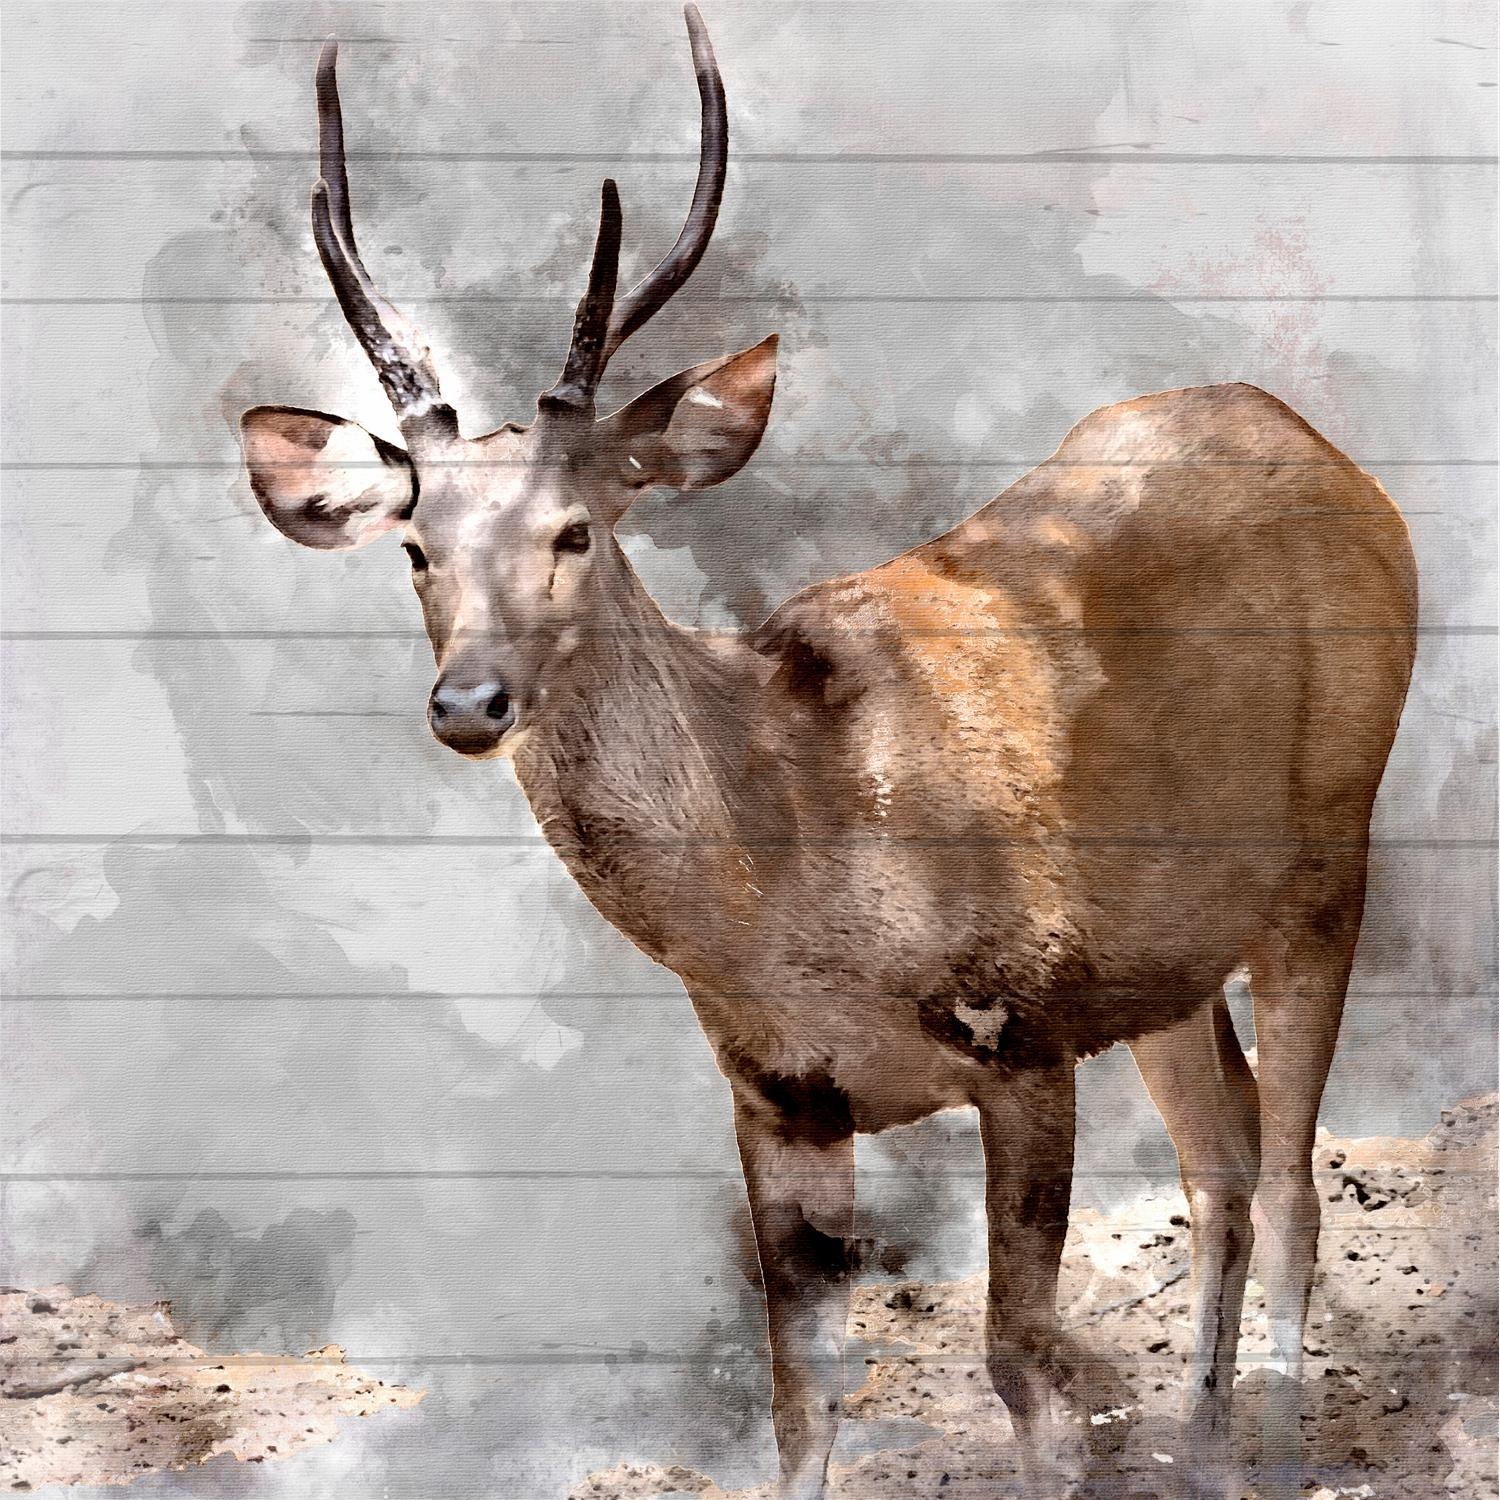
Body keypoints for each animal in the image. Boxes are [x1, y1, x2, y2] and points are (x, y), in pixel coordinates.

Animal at [238, 9, 1417, 1497]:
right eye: (414, 547)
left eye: (576, 529)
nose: (468, 701)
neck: (800, 867)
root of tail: (1323, 450)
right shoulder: (777, 1092)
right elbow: (803, 1401)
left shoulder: (1022, 1025)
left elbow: (1018, 1365)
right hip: (1168, 953)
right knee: (1225, 1160)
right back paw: (1200, 1441)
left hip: (1329, 846)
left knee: (1294, 1174)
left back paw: (1264, 1446)